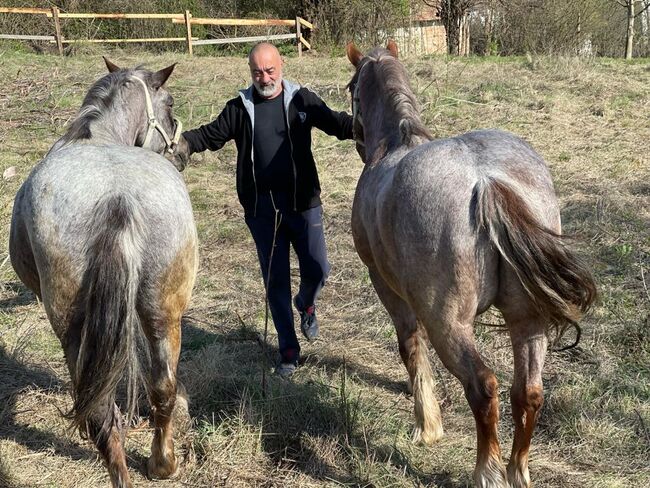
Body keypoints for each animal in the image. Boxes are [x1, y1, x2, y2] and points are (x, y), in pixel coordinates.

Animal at [10, 58, 196, 488]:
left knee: (99, 412)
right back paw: (161, 465)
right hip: (163, 313)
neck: (97, 136)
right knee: (159, 390)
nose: (181, 151)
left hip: (74, 329)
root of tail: (118, 198)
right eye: (171, 103)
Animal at [346, 43, 596, 488]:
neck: (395, 143)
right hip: (527, 320)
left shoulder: (387, 288)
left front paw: (427, 426)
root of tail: (487, 180)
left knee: (483, 386)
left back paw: (487, 472)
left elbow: (410, 348)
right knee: (528, 392)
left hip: (449, 324)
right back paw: (517, 471)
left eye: (351, 87)